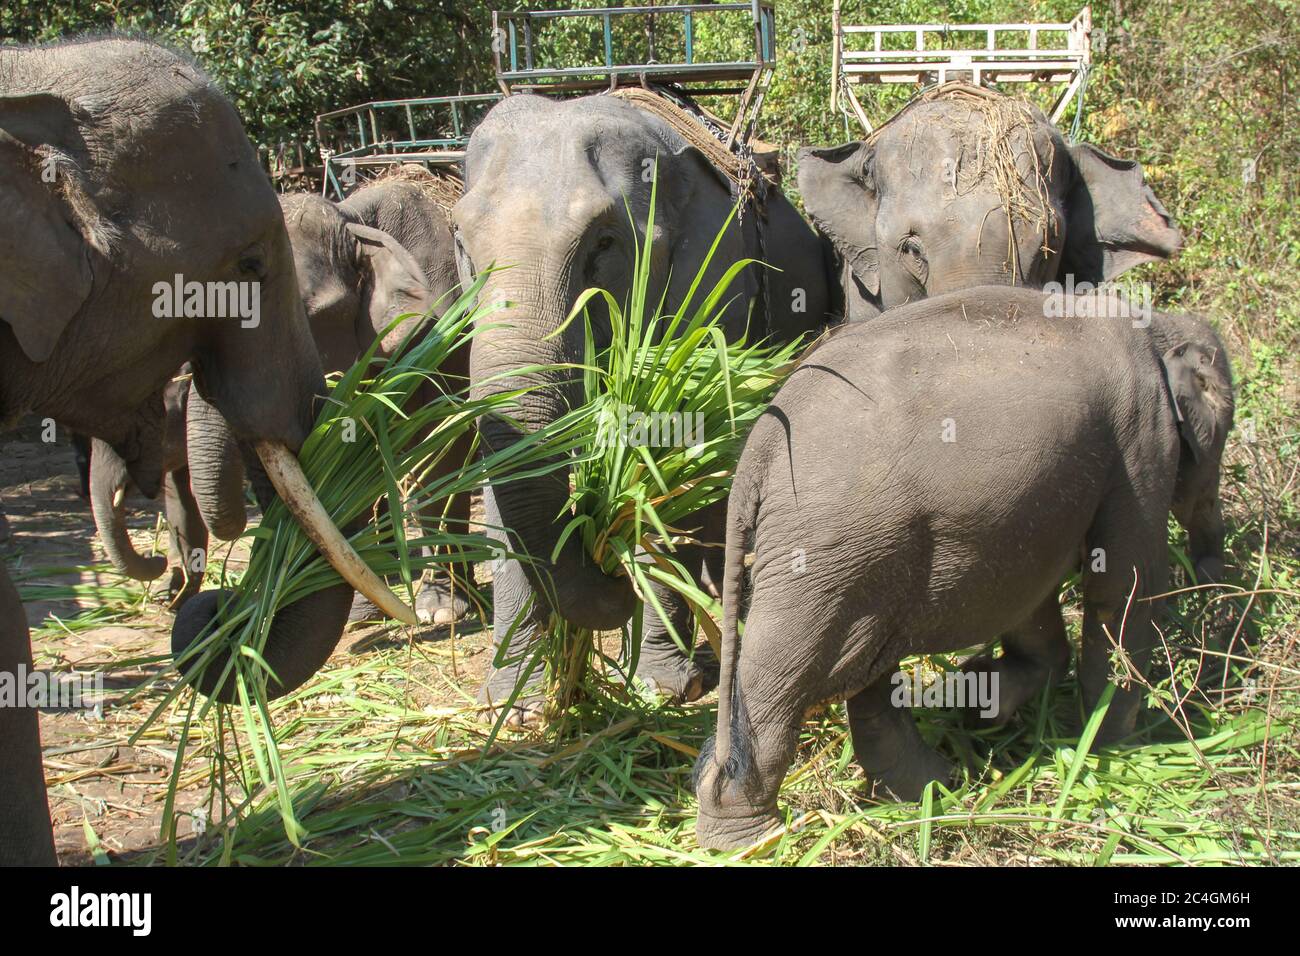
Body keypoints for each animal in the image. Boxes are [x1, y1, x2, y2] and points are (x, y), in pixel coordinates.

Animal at [452, 93, 837, 723]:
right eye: (461, 239)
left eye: (605, 243)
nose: (608, 569)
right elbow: (502, 467)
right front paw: (511, 707)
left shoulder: (714, 292)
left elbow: (673, 460)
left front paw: (665, 688)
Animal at [691, 286, 1227, 853]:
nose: (1218, 576)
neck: (1155, 325)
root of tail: (760, 449)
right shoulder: (1142, 432)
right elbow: (1125, 587)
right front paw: (1122, 748)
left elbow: (1032, 591)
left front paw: (983, 699)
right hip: (826, 548)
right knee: (787, 671)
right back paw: (753, 840)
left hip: (862, 552)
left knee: (865, 664)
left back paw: (929, 790)